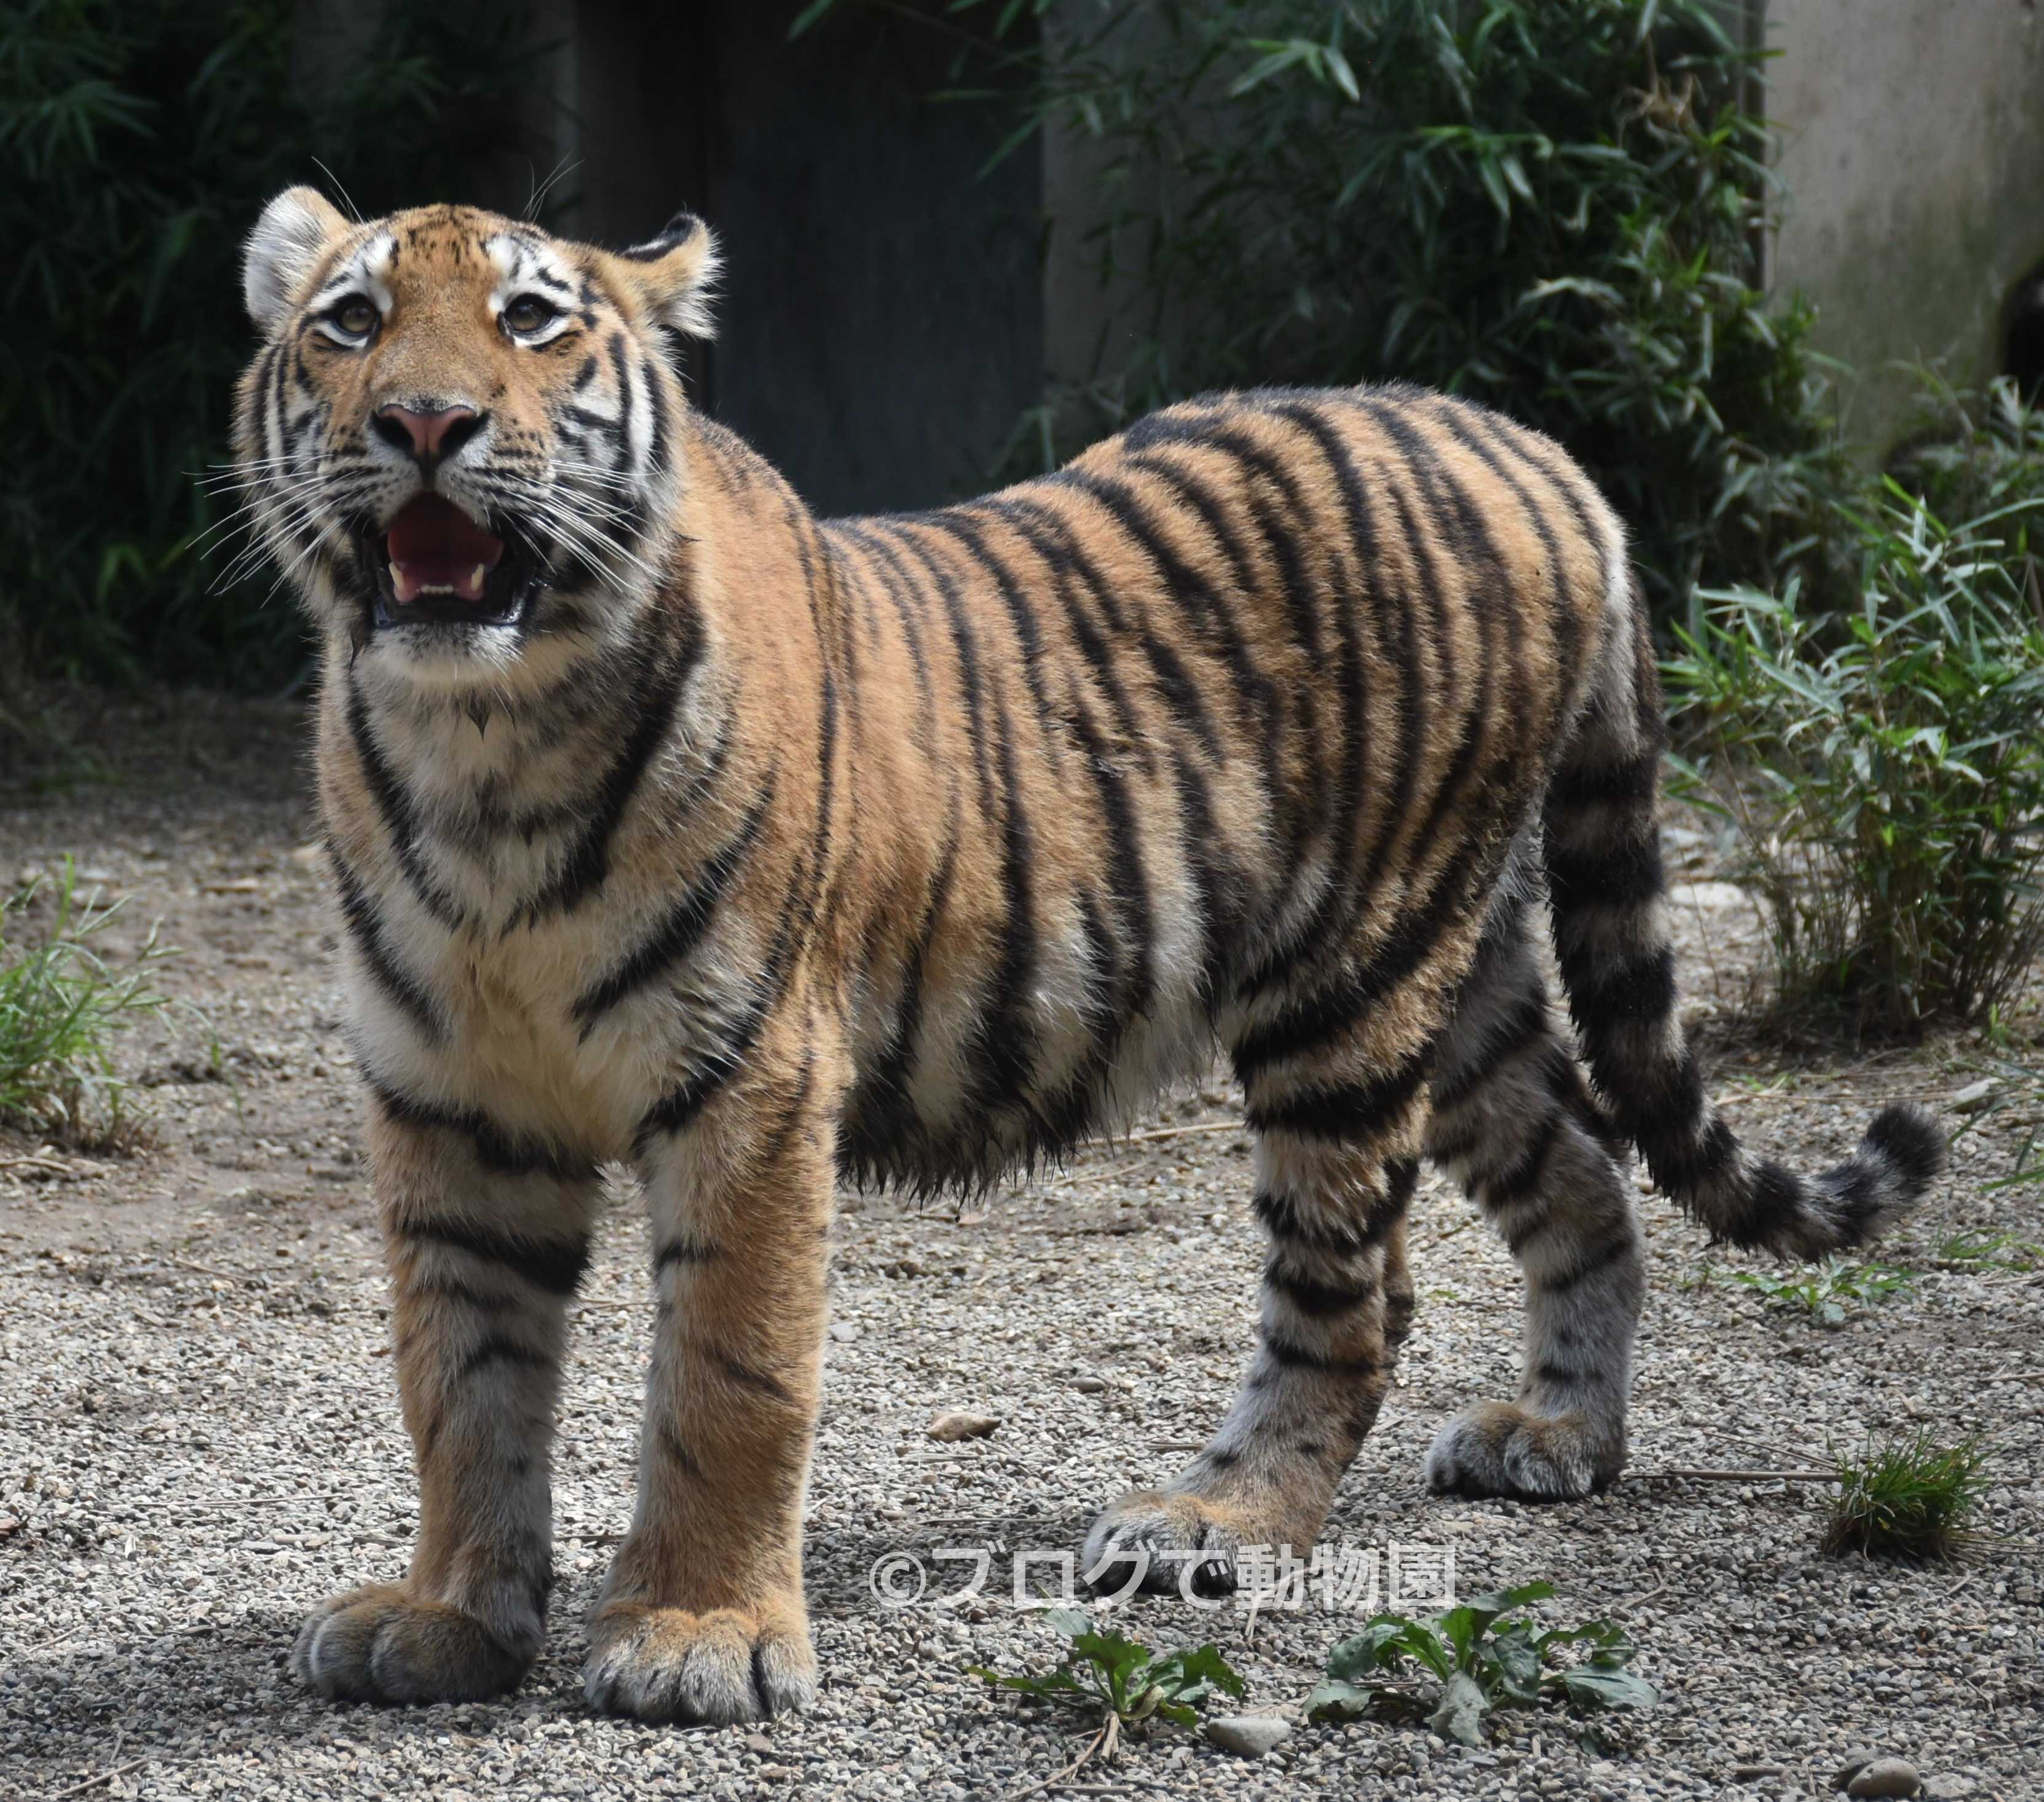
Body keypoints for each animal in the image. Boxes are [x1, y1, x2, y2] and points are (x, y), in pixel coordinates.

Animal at [232, 190, 1938, 1724]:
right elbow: (459, 1375)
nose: (428, 420)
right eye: (352, 321)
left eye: (530, 317)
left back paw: (1215, 1523)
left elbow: (728, 1369)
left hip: (1355, 981)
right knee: (1581, 1167)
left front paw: (697, 1635)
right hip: (1464, 987)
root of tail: (1533, 448)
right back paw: (1561, 1435)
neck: (482, 750)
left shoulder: (751, 1084)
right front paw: (451, 1616)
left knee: (1351, 1290)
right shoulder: (449, 1101)